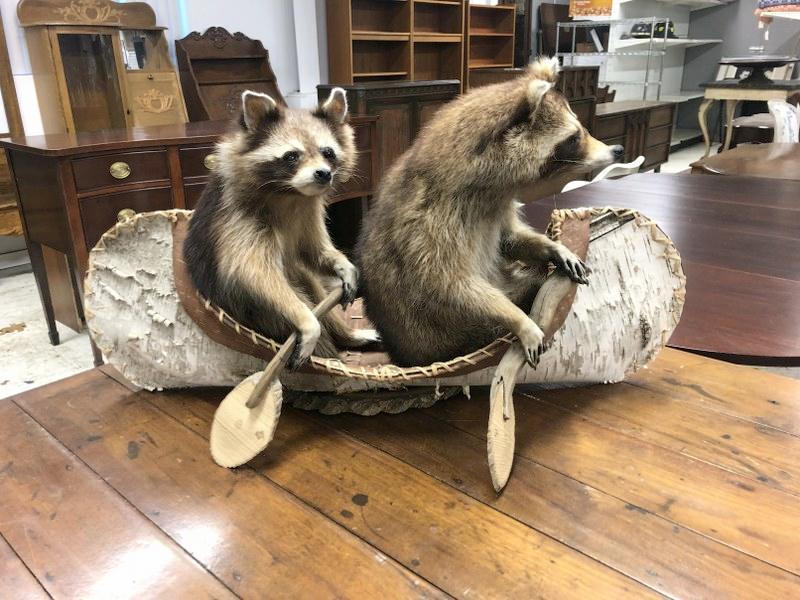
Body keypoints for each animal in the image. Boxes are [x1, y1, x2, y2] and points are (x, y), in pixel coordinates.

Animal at [184, 89, 375, 369]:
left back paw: (346, 334)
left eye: (328, 152)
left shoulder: (308, 211)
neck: (289, 193)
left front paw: (343, 264)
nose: (323, 174)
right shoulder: (237, 219)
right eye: (291, 156)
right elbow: (254, 274)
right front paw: (307, 321)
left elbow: (313, 250)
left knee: (308, 278)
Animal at [357, 57, 623, 367]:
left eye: (580, 130)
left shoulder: (498, 204)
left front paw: (553, 247)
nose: (618, 149)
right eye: (573, 138)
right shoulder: (428, 219)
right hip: (443, 335)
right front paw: (519, 320)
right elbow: (448, 284)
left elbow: (509, 238)